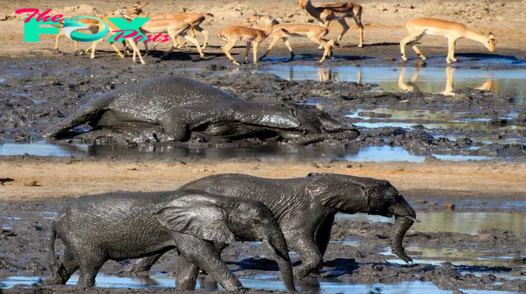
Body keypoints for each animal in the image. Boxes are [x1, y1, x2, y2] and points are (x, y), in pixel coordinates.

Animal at [44, 189, 302, 290]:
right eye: (256, 222)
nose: (294, 291)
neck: (223, 201)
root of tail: (55, 220)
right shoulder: (185, 229)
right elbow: (201, 254)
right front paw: (241, 290)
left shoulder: (185, 229)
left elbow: (189, 259)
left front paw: (183, 289)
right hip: (83, 237)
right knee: (90, 263)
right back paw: (82, 288)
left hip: (74, 237)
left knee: (71, 261)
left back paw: (51, 283)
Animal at [133, 173, 420, 280]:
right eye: (394, 198)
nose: (410, 262)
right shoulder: (308, 208)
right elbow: (295, 237)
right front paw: (301, 274)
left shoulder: (326, 212)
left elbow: (321, 240)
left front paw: (313, 274)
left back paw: (137, 274)